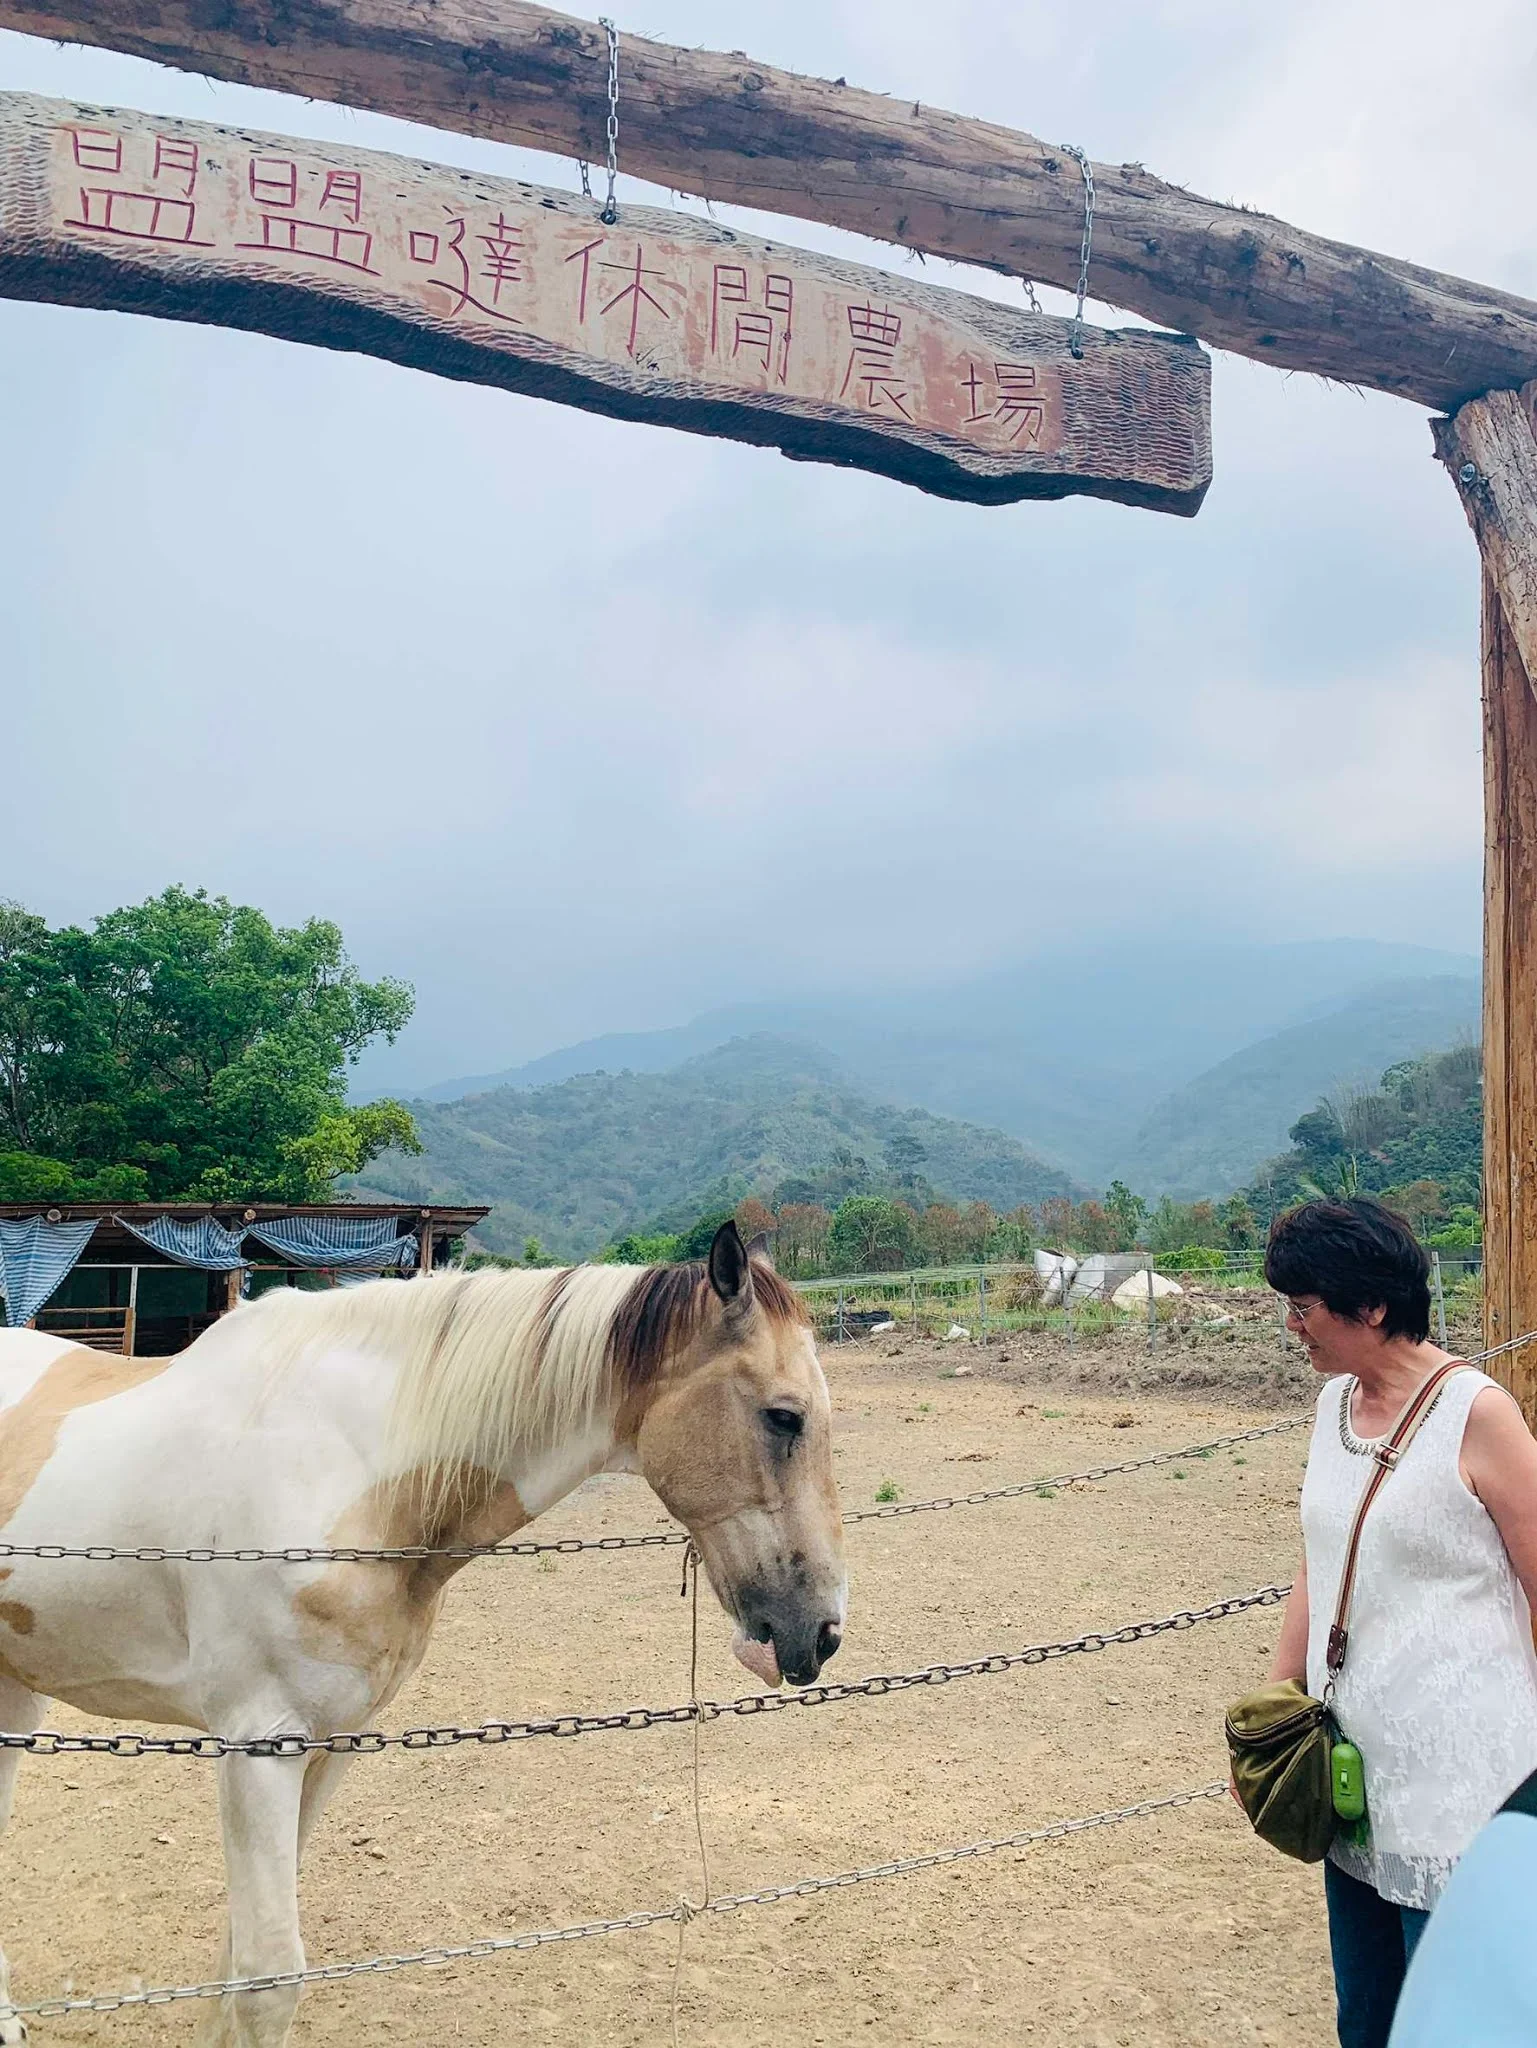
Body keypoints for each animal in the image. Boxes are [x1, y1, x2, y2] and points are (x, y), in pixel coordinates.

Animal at [0, 1220, 848, 2039]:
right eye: (783, 1416)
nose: (822, 1631)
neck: (353, 1479)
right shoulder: (258, 1746)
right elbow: (270, 1978)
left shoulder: (330, 1743)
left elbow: (241, 1963)